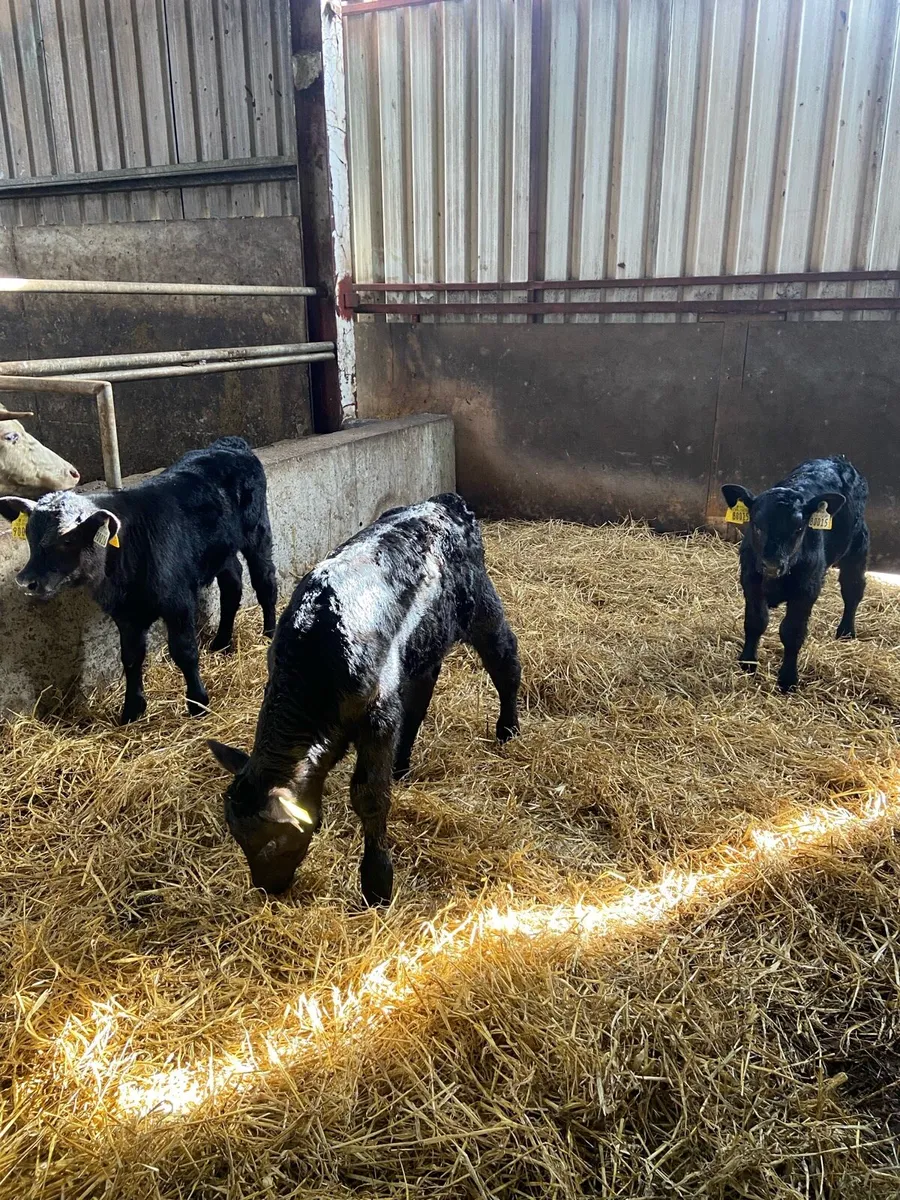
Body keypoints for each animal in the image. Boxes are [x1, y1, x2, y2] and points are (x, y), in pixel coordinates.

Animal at [0, 436, 277, 724]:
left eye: (67, 539)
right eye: (28, 535)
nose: (26, 581)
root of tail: (230, 444)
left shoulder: (178, 601)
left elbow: (184, 651)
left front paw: (198, 703)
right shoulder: (125, 614)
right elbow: (131, 657)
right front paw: (132, 709)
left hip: (258, 532)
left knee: (265, 581)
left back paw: (269, 632)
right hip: (221, 551)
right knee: (232, 584)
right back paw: (222, 642)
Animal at [208, 492, 521, 906]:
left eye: (272, 841)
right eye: (238, 839)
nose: (267, 889)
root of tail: (444, 502)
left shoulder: (378, 715)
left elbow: (369, 796)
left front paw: (376, 883)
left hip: (480, 604)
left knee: (505, 659)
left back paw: (508, 729)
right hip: (421, 647)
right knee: (420, 697)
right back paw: (401, 764)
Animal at [721, 455, 869, 692]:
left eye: (799, 529)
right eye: (757, 526)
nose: (772, 565)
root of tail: (837, 459)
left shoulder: (807, 590)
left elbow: (792, 632)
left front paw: (788, 679)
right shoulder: (750, 580)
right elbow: (755, 622)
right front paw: (747, 663)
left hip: (858, 545)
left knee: (853, 589)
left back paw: (846, 631)